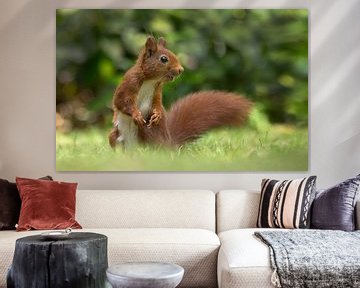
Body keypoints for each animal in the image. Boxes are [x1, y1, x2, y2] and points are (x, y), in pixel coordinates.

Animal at [108, 36, 252, 148]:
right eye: (163, 59)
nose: (180, 69)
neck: (151, 80)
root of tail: (170, 144)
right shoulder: (129, 83)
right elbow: (121, 101)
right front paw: (136, 115)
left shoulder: (157, 90)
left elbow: (157, 103)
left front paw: (157, 114)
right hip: (114, 136)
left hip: (149, 132)